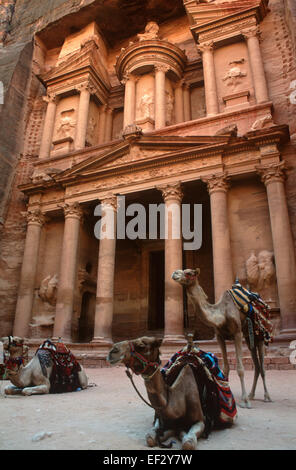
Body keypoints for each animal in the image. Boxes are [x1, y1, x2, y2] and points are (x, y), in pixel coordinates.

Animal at [171, 270, 270, 410]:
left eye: (189, 273)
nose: (175, 273)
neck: (221, 314)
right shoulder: (219, 336)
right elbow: (226, 368)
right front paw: (228, 399)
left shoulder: (237, 333)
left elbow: (240, 369)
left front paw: (245, 401)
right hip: (249, 337)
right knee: (256, 365)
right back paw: (251, 394)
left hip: (260, 335)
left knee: (262, 366)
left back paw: (266, 397)